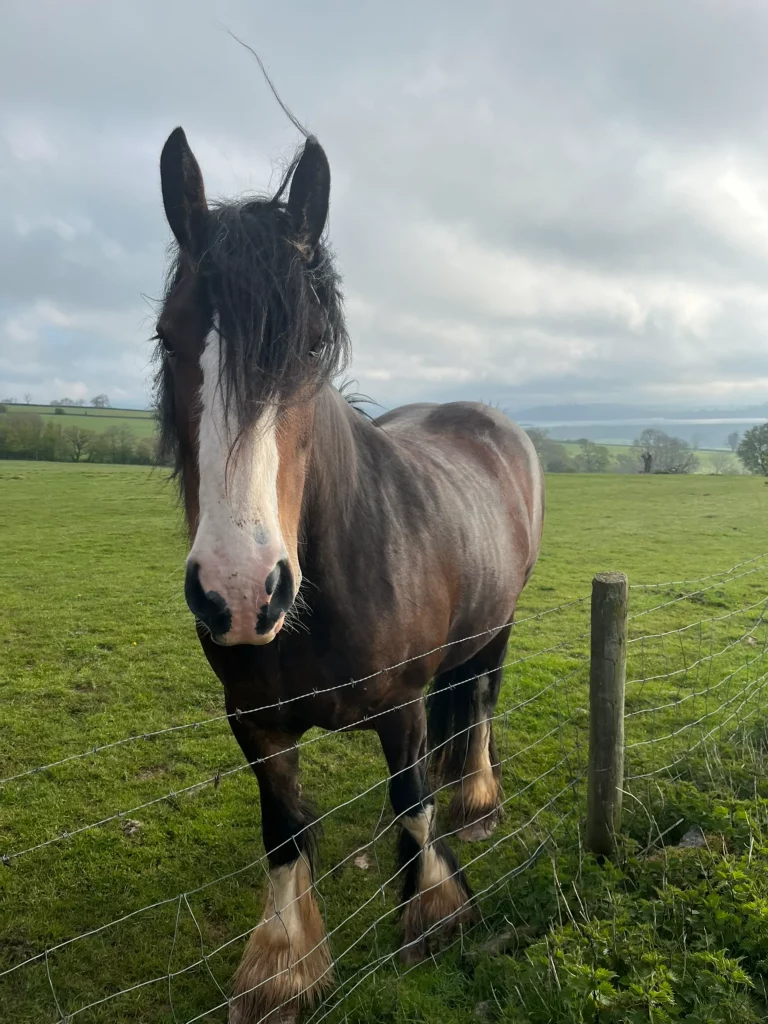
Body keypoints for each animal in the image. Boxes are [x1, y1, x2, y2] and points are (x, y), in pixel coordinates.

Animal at [155, 125, 544, 1023]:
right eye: (167, 337)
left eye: (308, 346)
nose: (239, 591)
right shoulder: (253, 720)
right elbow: (285, 829)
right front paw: (283, 967)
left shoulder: (402, 705)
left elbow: (411, 803)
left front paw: (433, 915)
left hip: (499, 625)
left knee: (478, 701)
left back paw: (475, 802)